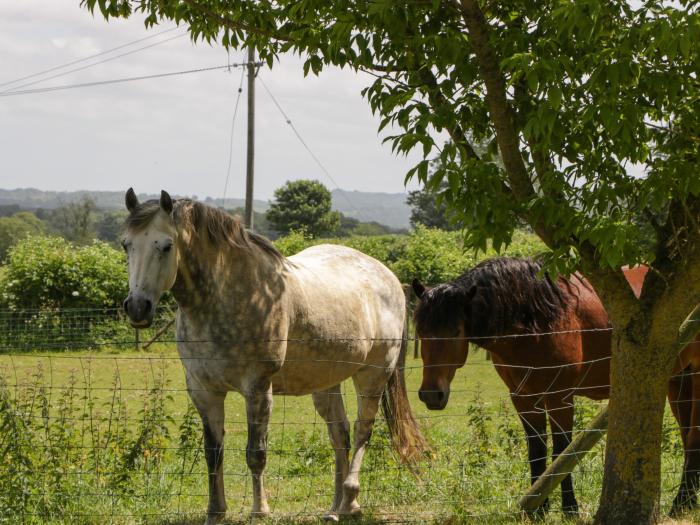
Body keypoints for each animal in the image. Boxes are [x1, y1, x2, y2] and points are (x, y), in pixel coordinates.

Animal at [120, 189, 426, 524]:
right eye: (126, 244)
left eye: (166, 245)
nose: (137, 308)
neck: (227, 295)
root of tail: (390, 278)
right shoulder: (203, 390)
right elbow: (213, 453)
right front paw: (216, 511)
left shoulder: (257, 388)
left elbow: (256, 454)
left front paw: (260, 510)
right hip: (326, 383)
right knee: (340, 435)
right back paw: (335, 508)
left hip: (372, 374)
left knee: (362, 431)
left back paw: (350, 500)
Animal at [412, 258, 696, 516]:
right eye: (421, 331)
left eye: (456, 331)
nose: (431, 394)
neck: (537, 322)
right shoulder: (524, 398)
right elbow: (537, 450)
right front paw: (537, 509)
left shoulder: (560, 397)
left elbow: (562, 450)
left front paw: (570, 508)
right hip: (677, 381)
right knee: (687, 434)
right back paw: (688, 500)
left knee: (693, 436)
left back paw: (682, 502)